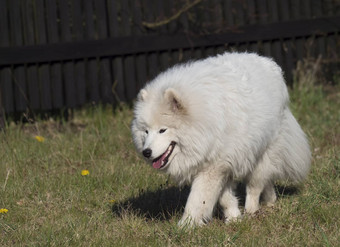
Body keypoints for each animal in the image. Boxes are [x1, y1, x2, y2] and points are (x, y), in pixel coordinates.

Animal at [131, 52, 310, 226]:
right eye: (146, 131)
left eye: (162, 130)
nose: (146, 152)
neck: (203, 121)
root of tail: (270, 63)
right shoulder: (221, 166)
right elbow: (225, 199)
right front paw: (234, 219)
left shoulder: (213, 168)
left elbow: (196, 200)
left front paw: (185, 226)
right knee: (265, 182)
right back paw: (270, 201)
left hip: (262, 153)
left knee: (254, 186)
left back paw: (252, 211)